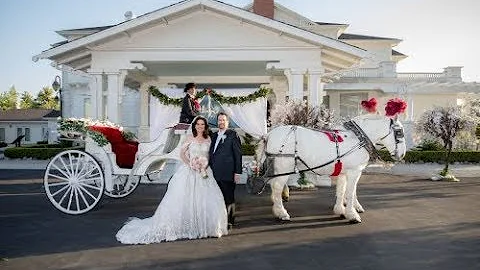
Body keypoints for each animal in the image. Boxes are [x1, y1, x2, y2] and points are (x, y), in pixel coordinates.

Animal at [256, 113, 406, 223]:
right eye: (399, 132)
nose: (402, 154)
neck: (358, 138)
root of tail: (269, 134)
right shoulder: (354, 172)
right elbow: (350, 192)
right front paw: (352, 215)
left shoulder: (344, 172)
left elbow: (341, 191)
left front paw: (340, 210)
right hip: (284, 167)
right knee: (277, 188)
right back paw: (281, 213)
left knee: (273, 185)